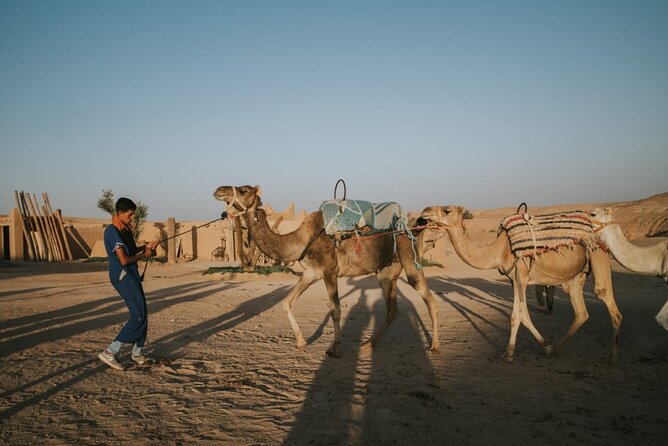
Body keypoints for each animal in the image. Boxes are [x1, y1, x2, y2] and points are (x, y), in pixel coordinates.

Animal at [214, 183, 440, 358]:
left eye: (243, 190)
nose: (219, 190)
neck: (301, 239)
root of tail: (410, 226)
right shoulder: (311, 273)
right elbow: (287, 302)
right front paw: (301, 342)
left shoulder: (330, 270)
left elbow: (335, 309)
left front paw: (335, 349)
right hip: (386, 271)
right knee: (393, 309)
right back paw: (369, 344)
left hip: (409, 256)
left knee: (429, 298)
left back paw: (434, 346)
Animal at [420, 206, 624, 362]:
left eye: (447, 210)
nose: (425, 211)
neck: (500, 249)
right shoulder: (513, 279)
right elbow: (523, 314)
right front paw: (546, 346)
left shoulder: (522, 274)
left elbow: (516, 315)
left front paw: (508, 353)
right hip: (576, 277)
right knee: (581, 313)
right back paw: (558, 349)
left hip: (597, 253)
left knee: (607, 300)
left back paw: (612, 357)